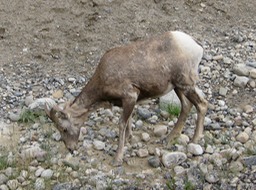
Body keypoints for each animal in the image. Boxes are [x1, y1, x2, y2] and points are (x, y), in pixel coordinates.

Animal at [44, 31, 208, 166]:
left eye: (64, 128)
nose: (70, 148)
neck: (102, 80)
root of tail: (196, 45)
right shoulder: (127, 101)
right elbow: (128, 121)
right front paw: (130, 138)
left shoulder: (130, 95)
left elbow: (122, 123)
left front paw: (117, 159)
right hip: (177, 86)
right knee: (186, 106)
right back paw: (168, 138)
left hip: (186, 83)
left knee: (202, 104)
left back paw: (194, 140)